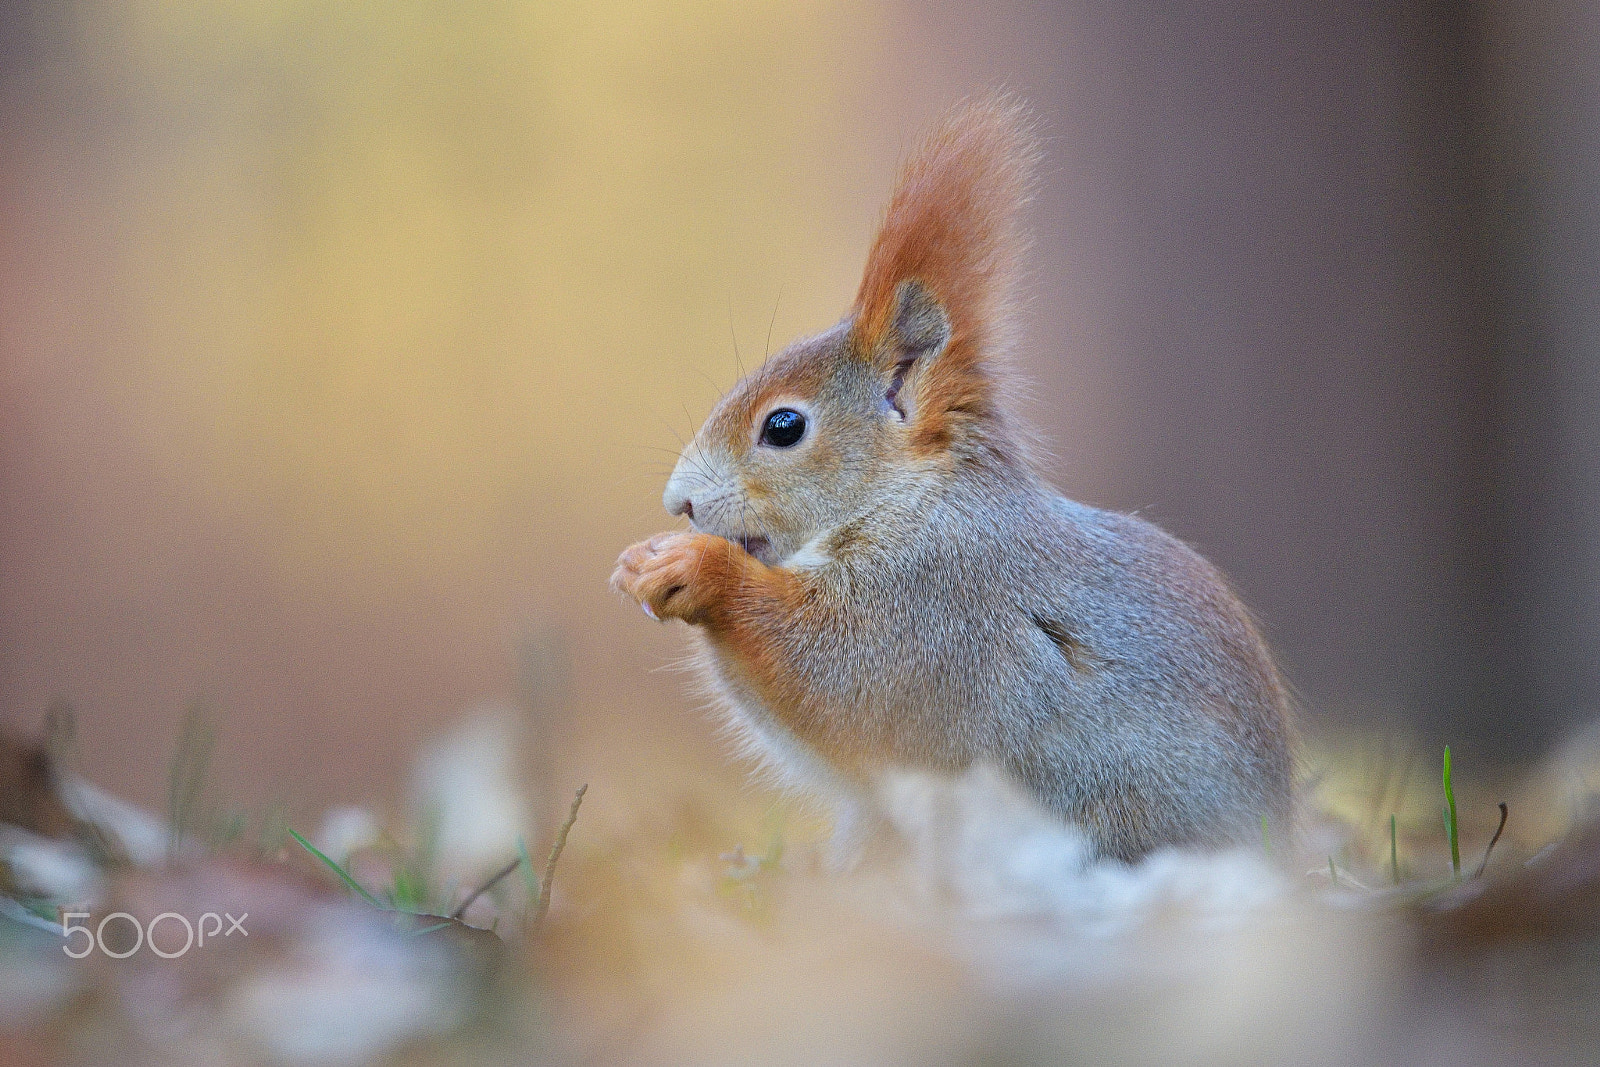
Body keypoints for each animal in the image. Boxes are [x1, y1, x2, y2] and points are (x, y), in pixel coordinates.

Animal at [608, 95, 1286, 863]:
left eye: (783, 427)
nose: (680, 502)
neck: (912, 497)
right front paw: (641, 561)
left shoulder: (937, 603)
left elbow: (835, 675)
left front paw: (694, 568)